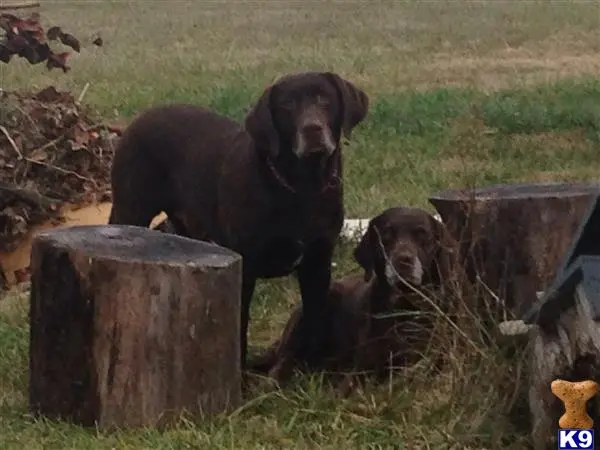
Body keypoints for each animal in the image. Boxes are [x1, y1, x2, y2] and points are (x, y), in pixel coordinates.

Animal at [109, 72, 368, 370]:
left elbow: (314, 320)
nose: (312, 128)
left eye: (325, 99)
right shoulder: (246, 266)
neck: (302, 188)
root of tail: (138, 120)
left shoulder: (318, 263)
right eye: (287, 105)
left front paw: (307, 369)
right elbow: (240, 327)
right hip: (131, 212)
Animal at [250, 206, 460, 388]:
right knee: (282, 363)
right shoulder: (362, 370)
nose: (403, 260)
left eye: (422, 234)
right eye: (387, 234)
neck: (402, 307)